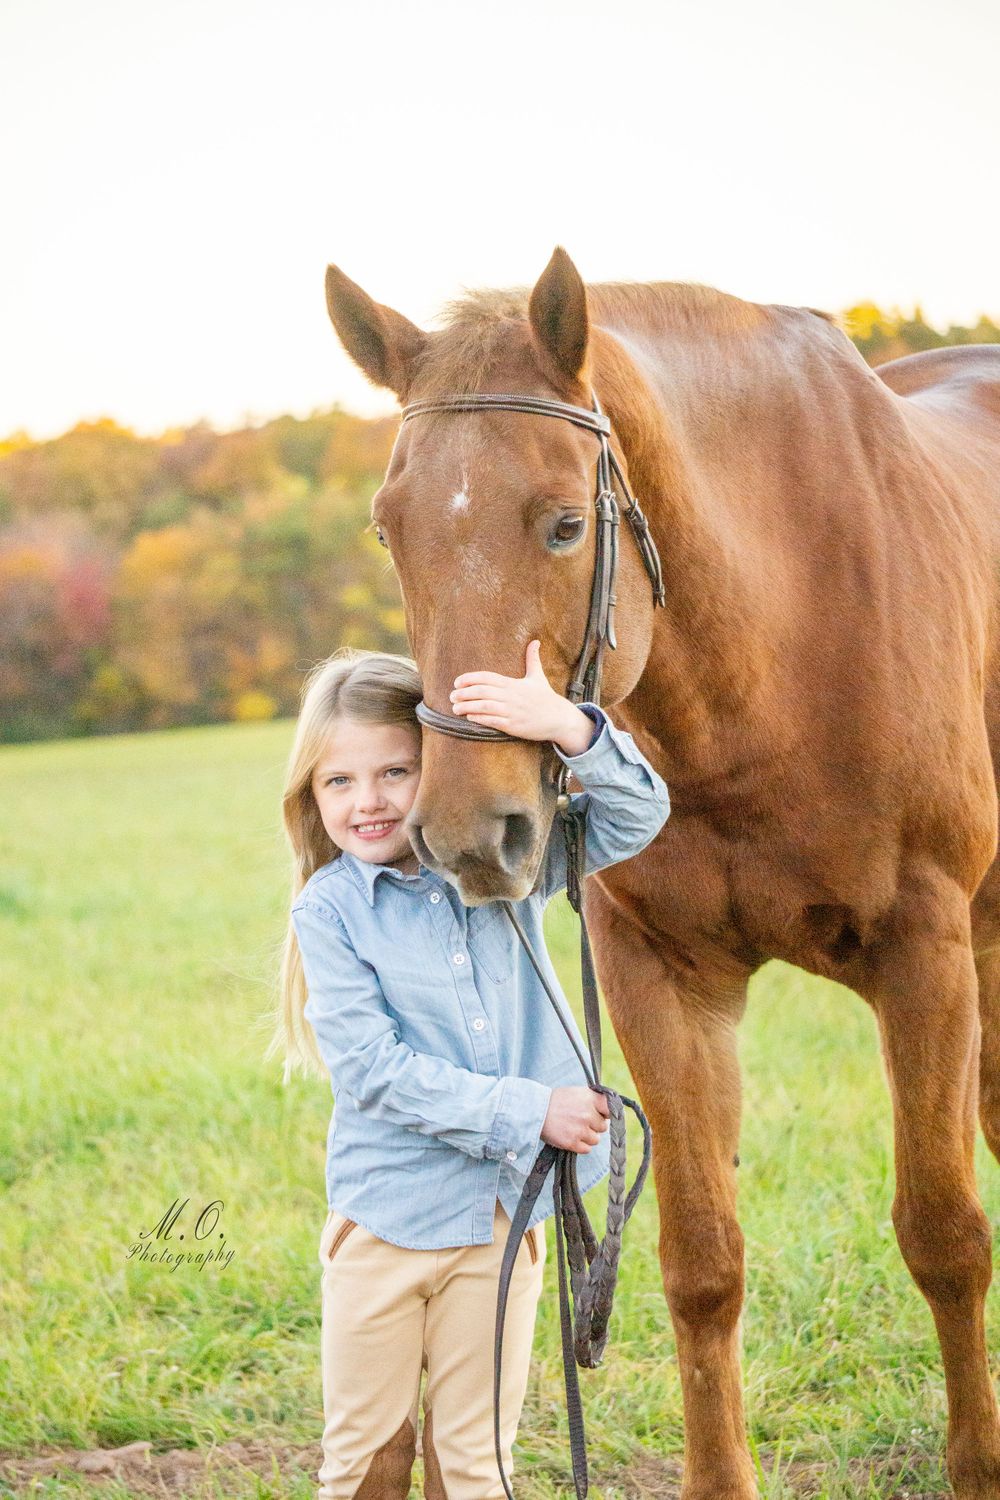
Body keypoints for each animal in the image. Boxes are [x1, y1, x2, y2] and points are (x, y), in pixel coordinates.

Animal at [323, 246, 1000, 1499]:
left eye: (560, 525)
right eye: (391, 531)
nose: (468, 833)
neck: (771, 651)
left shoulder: (924, 958)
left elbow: (943, 1238)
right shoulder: (658, 978)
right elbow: (699, 1262)